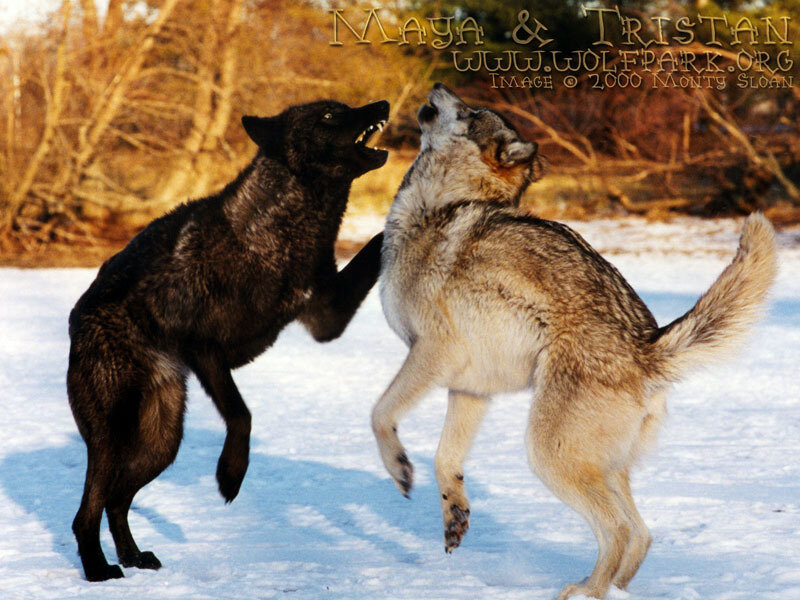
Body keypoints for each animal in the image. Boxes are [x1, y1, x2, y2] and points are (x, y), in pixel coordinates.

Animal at [67, 98, 390, 581]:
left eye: (344, 107)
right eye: (330, 116)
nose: (382, 104)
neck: (280, 229)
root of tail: (76, 318)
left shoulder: (326, 320)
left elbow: (377, 244)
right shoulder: (206, 350)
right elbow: (242, 413)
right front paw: (230, 474)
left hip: (161, 442)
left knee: (117, 501)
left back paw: (133, 557)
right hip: (113, 436)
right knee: (87, 512)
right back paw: (97, 569)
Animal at [373, 83, 777, 599]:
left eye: (467, 111)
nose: (438, 87)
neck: (441, 205)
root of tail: (647, 349)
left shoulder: (432, 352)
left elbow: (380, 414)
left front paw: (400, 469)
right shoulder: (471, 387)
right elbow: (446, 459)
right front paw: (454, 515)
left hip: (548, 454)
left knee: (620, 530)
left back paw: (586, 592)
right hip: (596, 464)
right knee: (640, 533)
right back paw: (600, 587)